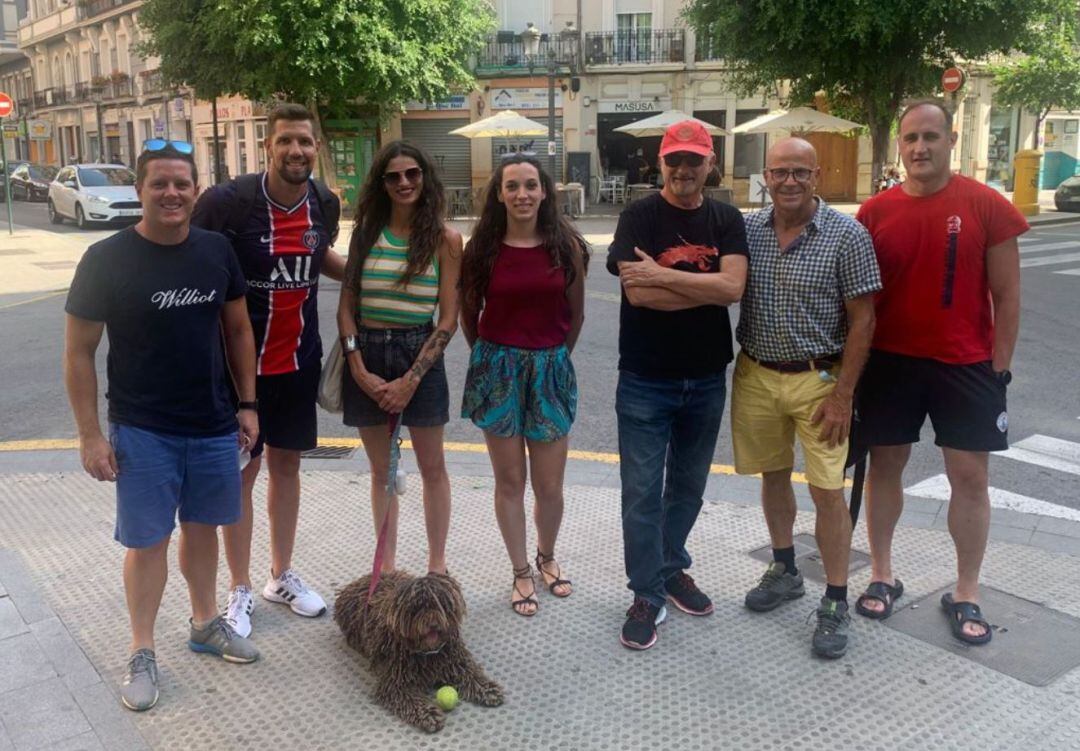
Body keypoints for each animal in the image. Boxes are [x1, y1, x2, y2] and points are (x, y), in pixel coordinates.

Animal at [334, 574, 503, 730]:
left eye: (440, 603)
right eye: (417, 607)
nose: (433, 623)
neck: (428, 653)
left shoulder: (455, 661)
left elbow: (471, 673)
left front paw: (487, 689)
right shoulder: (394, 684)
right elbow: (409, 700)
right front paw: (428, 714)